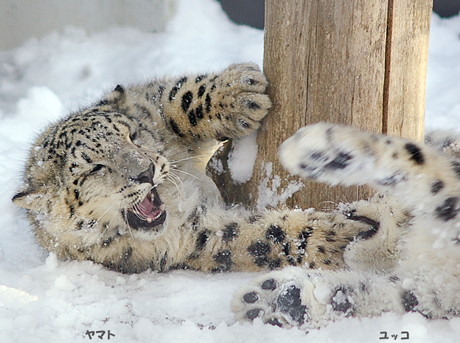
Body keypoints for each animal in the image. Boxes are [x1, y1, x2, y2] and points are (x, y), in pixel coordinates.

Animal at [12, 65, 372, 280]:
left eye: (132, 135)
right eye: (95, 167)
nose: (146, 171)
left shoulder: (149, 101)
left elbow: (177, 98)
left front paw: (241, 92)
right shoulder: (192, 237)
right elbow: (259, 236)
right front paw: (345, 237)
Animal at [235, 122, 460, 330]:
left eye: (379, 193)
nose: (347, 206)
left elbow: (420, 161)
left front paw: (321, 148)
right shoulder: (437, 287)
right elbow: (397, 296)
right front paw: (282, 301)